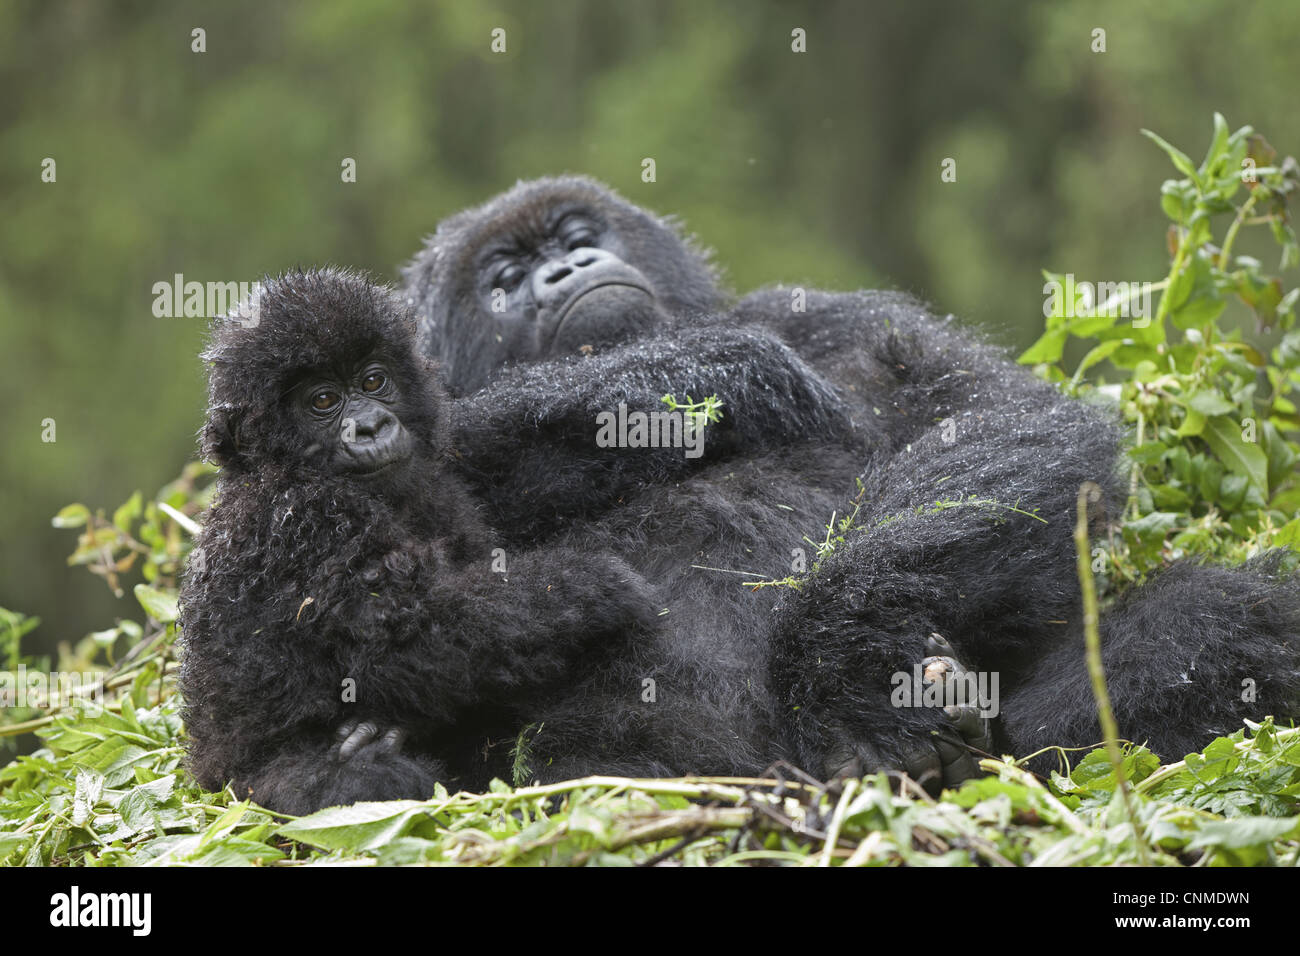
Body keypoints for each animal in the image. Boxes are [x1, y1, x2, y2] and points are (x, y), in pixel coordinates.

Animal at [180, 269, 660, 816]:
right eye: (322, 401)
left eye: (373, 381)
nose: (371, 426)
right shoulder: (301, 520)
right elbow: (404, 638)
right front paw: (592, 584)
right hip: (241, 796)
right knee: (371, 782)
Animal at [403, 178, 1300, 780]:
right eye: (504, 281)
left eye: (578, 234)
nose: (568, 271)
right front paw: (696, 371)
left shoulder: (824, 310)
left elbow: (999, 418)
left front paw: (844, 653)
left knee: (1214, 619)